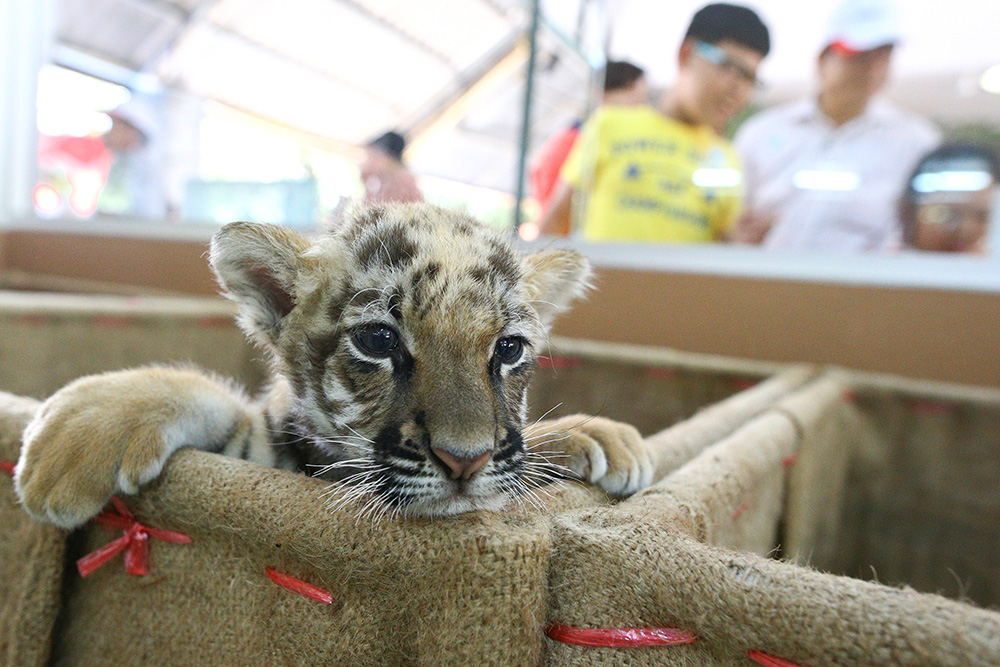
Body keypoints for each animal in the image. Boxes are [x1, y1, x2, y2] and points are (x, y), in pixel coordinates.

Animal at [13, 203, 653, 529]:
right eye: (378, 340)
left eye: (509, 349)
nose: (465, 461)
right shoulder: (261, 450)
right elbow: (204, 391)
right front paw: (74, 440)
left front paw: (599, 436)